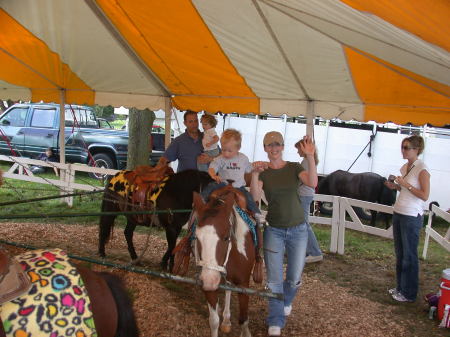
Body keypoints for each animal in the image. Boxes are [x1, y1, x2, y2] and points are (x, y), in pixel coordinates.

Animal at [193, 192, 256, 336]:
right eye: (197, 237)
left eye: (226, 237)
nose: (210, 280)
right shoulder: (209, 287)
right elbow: (214, 321)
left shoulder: (243, 285)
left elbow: (243, 321)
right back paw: (226, 321)